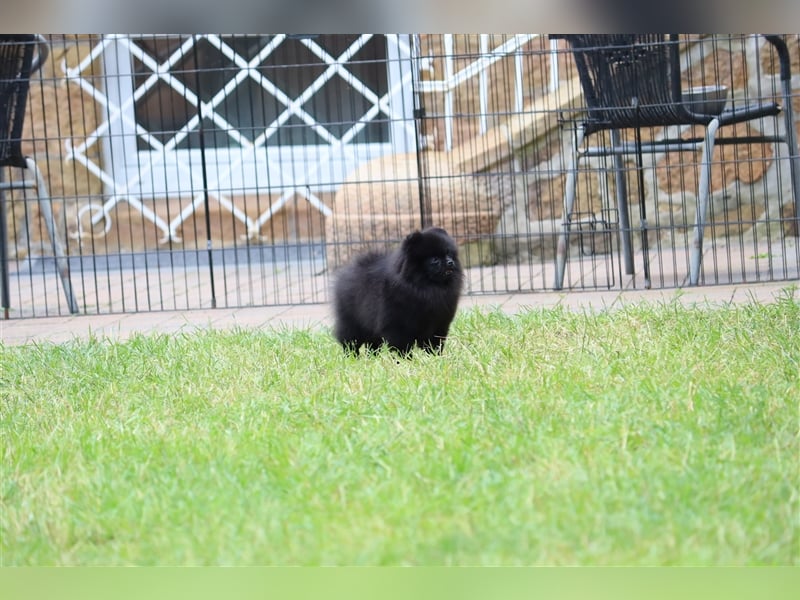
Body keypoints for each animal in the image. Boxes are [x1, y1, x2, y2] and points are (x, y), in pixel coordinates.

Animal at [334, 227, 466, 354]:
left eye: (449, 254)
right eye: (434, 259)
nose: (450, 262)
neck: (426, 287)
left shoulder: (438, 324)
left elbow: (434, 344)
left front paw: (435, 356)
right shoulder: (397, 326)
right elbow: (401, 347)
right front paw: (405, 359)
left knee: (372, 345)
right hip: (351, 323)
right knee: (350, 343)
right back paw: (352, 357)